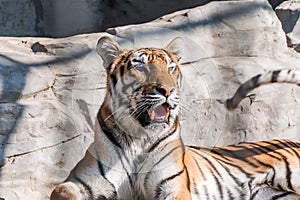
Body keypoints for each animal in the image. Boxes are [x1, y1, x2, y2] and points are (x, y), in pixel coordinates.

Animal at [49, 36, 300, 200]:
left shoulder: (172, 186)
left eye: (171, 68)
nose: (167, 90)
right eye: (140, 66)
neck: (139, 137)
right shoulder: (82, 181)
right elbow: (60, 190)